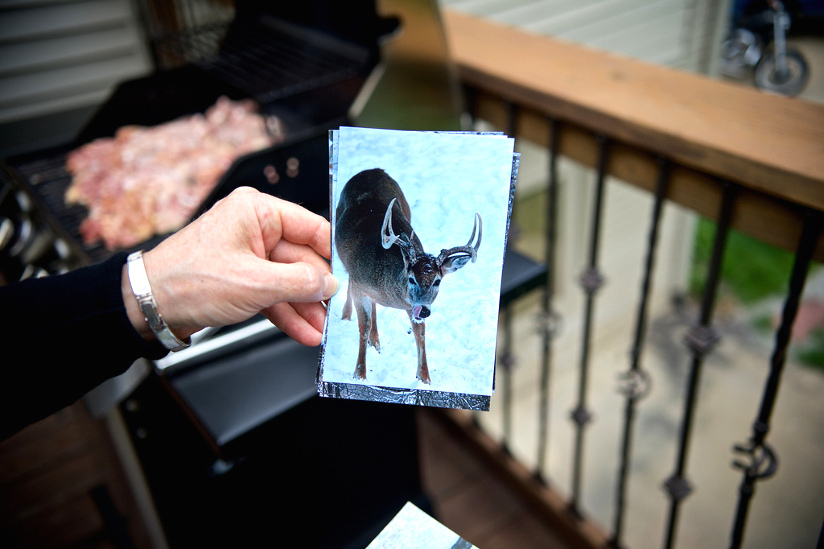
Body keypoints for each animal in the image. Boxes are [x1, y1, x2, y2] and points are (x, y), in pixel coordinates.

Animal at [332, 168, 480, 386]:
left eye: (437, 281)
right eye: (411, 279)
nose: (425, 310)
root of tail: (373, 170)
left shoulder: (413, 305)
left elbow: (420, 334)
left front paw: (424, 379)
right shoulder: (360, 283)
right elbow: (363, 326)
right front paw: (359, 375)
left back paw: (376, 341)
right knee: (350, 283)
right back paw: (347, 317)